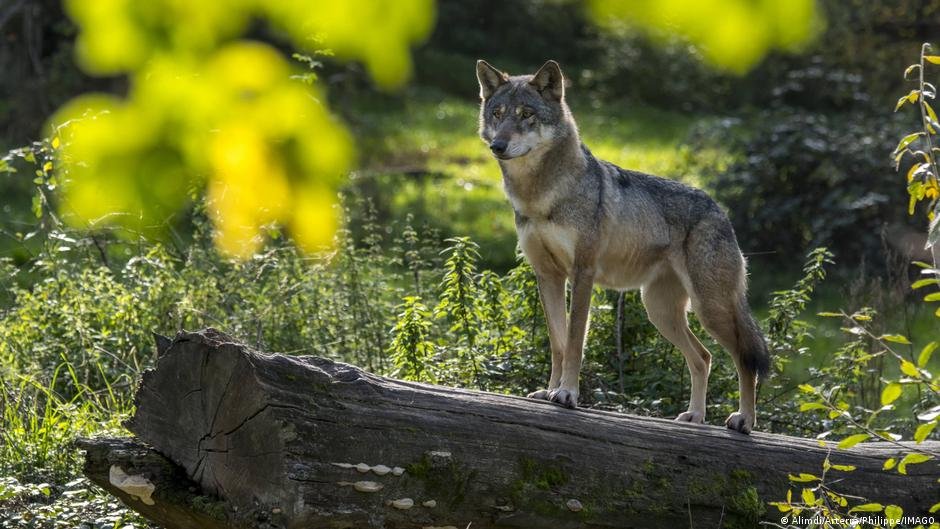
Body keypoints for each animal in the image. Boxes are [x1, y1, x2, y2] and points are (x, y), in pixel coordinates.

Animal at [476, 59, 770, 433]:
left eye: (526, 114)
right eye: (497, 114)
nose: (497, 146)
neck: (541, 195)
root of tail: (720, 211)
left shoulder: (582, 273)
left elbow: (575, 341)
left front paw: (567, 394)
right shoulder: (548, 276)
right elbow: (557, 343)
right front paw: (550, 390)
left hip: (710, 309)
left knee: (744, 359)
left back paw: (744, 419)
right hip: (660, 311)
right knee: (703, 358)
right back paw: (695, 416)